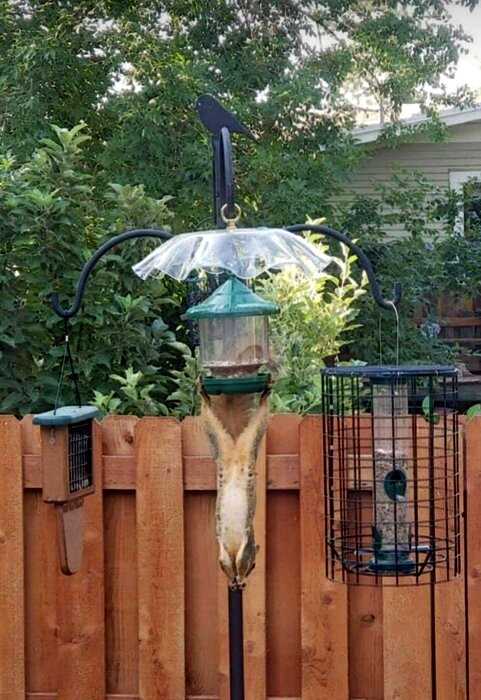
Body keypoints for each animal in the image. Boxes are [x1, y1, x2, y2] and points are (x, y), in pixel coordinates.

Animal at [197, 386, 268, 588]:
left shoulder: (237, 552)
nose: (252, 570)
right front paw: (237, 580)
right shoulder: (241, 552)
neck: (233, 549)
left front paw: (238, 580)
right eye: (254, 564)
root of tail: (236, 456)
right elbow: (233, 565)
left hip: (230, 443)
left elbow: (232, 564)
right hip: (234, 445)